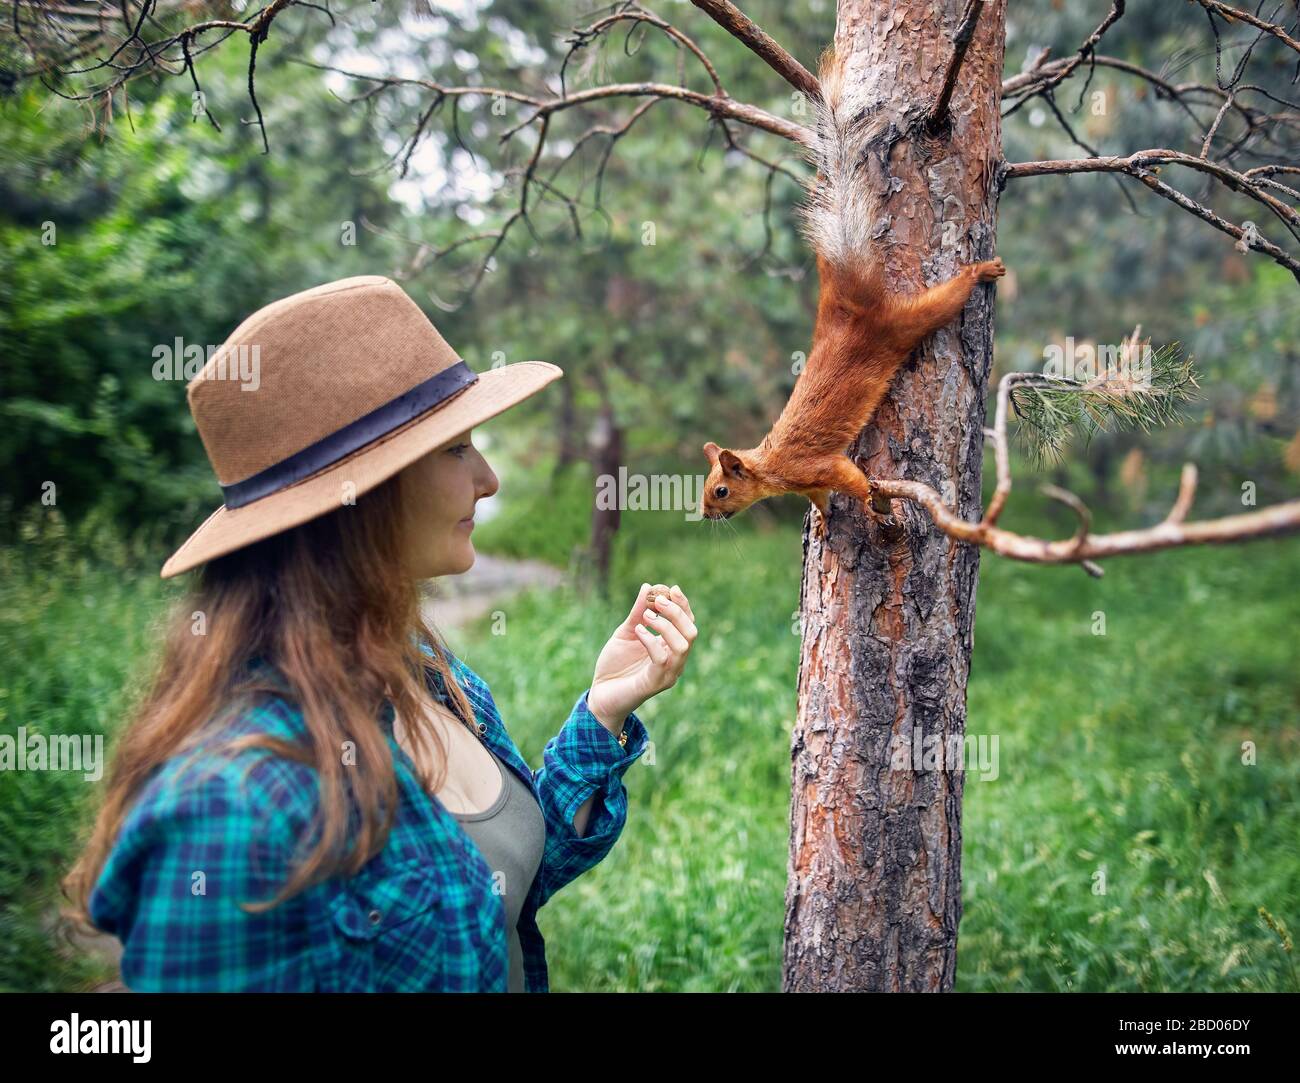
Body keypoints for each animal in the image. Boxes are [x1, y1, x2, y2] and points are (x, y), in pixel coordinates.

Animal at [702, 45, 1003, 535]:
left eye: (721, 490)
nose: (705, 514)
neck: (771, 467)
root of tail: (848, 306)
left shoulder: (816, 466)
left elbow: (851, 477)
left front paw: (870, 501)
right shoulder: (809, 483)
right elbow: (821, 498)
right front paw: (825, 521)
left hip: (904, 322)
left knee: (944, 300)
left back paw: (978, 273)